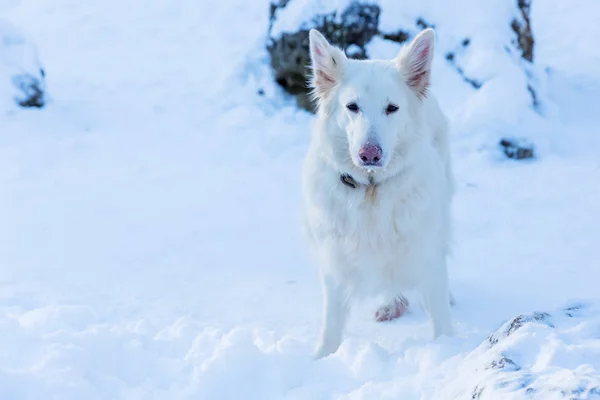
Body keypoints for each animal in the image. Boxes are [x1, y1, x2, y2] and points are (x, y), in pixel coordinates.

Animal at [302, 28, 452, 360]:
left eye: (391, 108)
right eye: (352, 107)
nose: (369, 154)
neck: (370, 188)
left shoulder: (427, 254)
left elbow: (439, 313)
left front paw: (448, 349)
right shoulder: (334, 261)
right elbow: (331, 322)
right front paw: (322, 357)